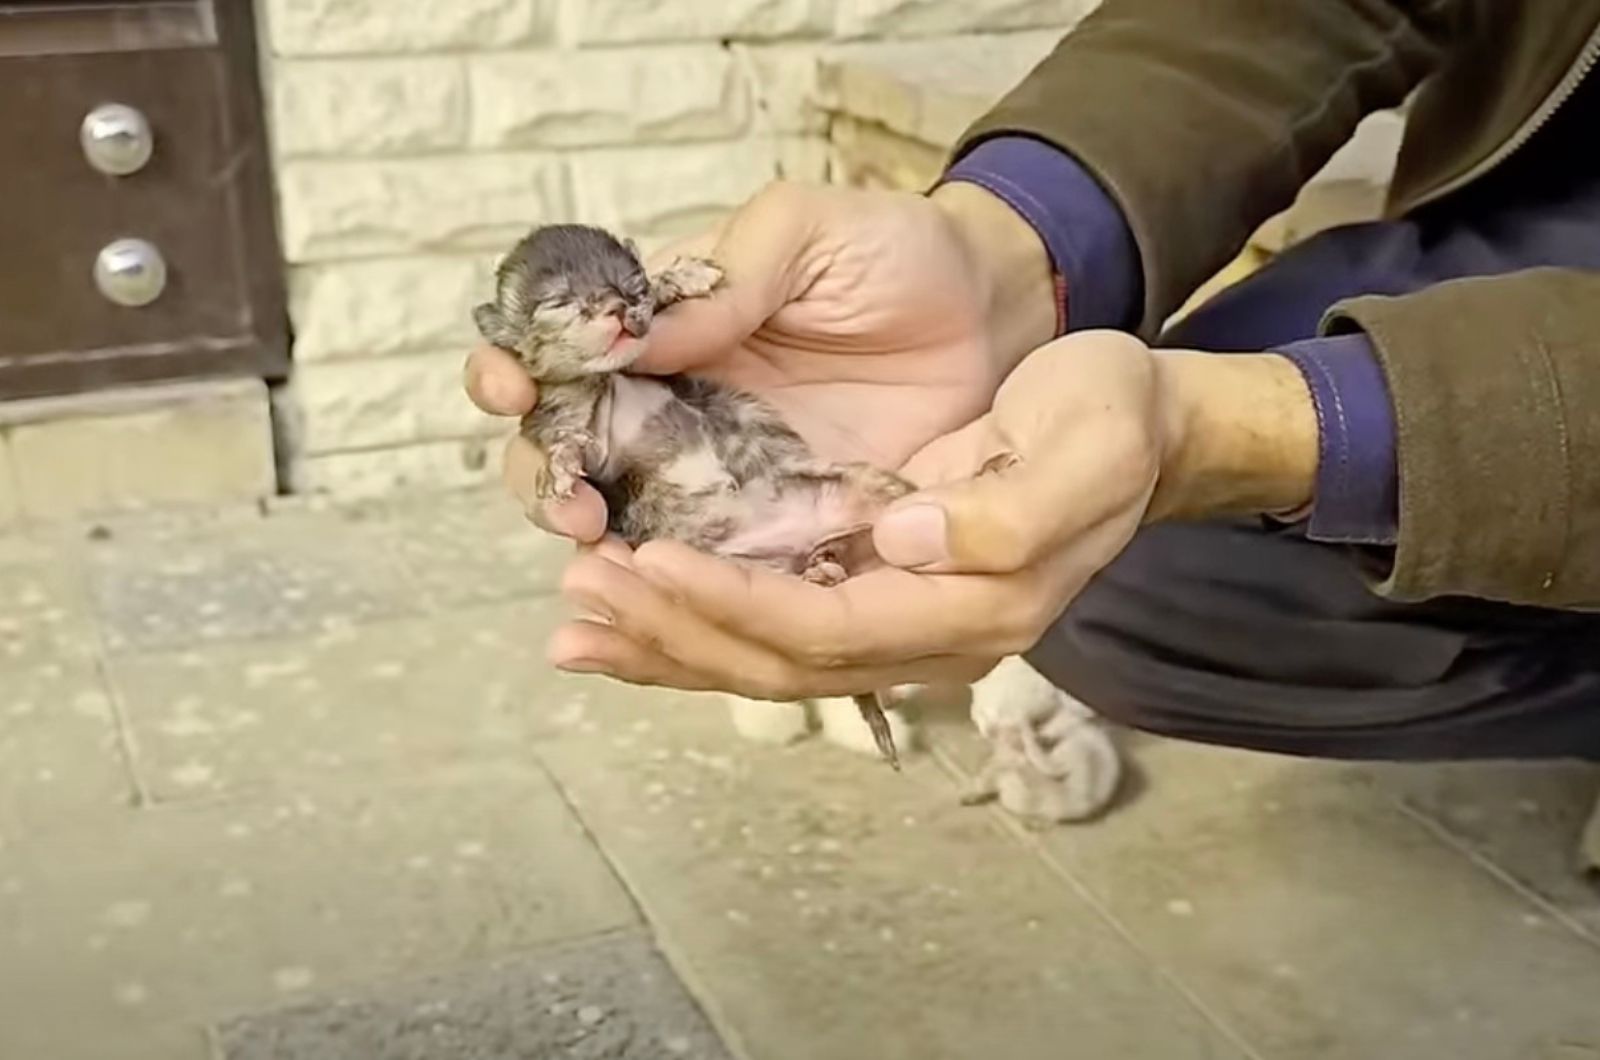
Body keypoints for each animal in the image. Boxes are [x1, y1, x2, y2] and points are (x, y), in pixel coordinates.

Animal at [470, 224, 915, 768]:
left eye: (629, 283)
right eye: (559, 302)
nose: (616, 306)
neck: (609, 377)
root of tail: (799, 547)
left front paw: (681, 278)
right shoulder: (574, 423)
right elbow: (573, 443)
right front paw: (559, 464)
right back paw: (821, 574)